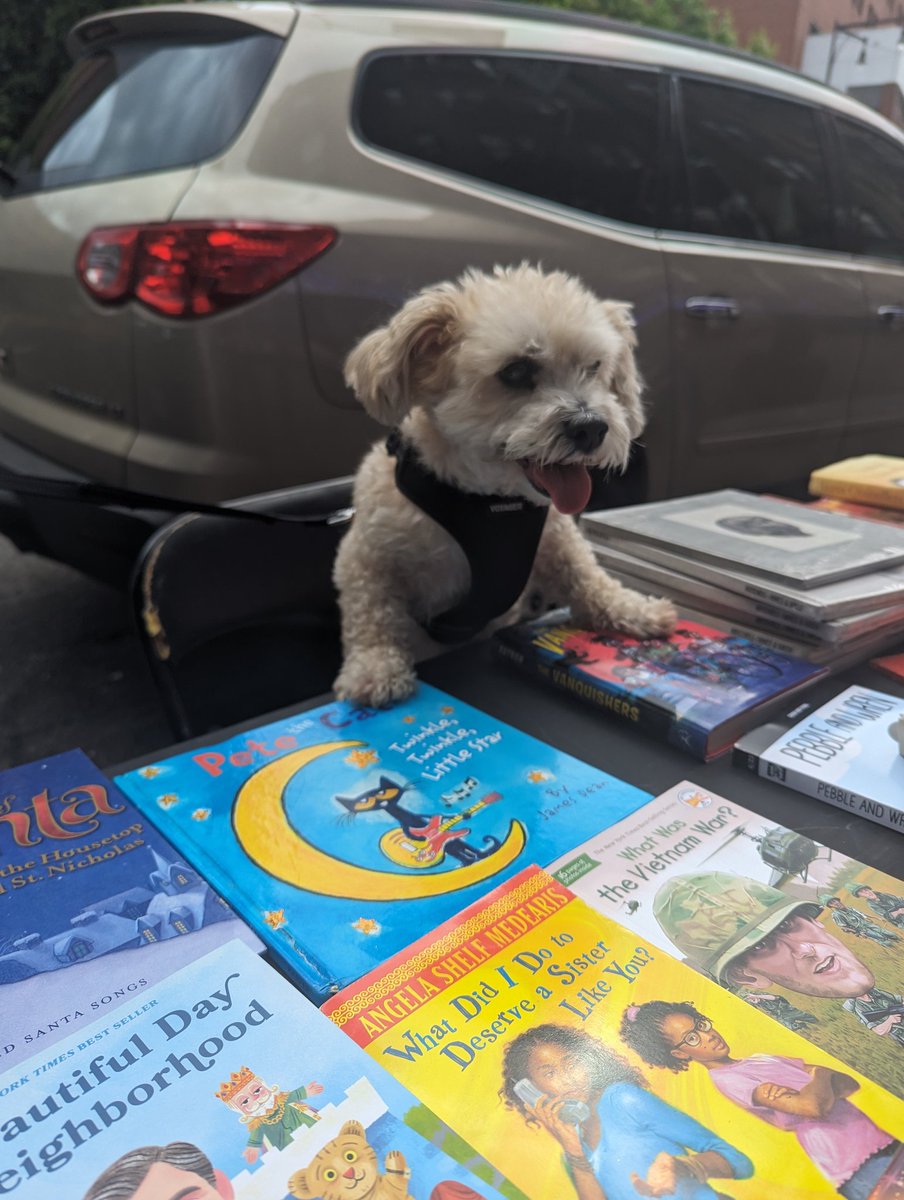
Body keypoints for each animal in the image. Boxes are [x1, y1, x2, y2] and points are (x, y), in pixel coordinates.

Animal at [336, 265, 672, 700]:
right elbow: (372, 609)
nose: (591, 428)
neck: (490, 501)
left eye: (595, 366)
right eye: (515, 371)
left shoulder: (557, 536)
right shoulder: (365, 555)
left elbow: (586, 573)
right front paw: (375, 667)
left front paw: (632, 608)